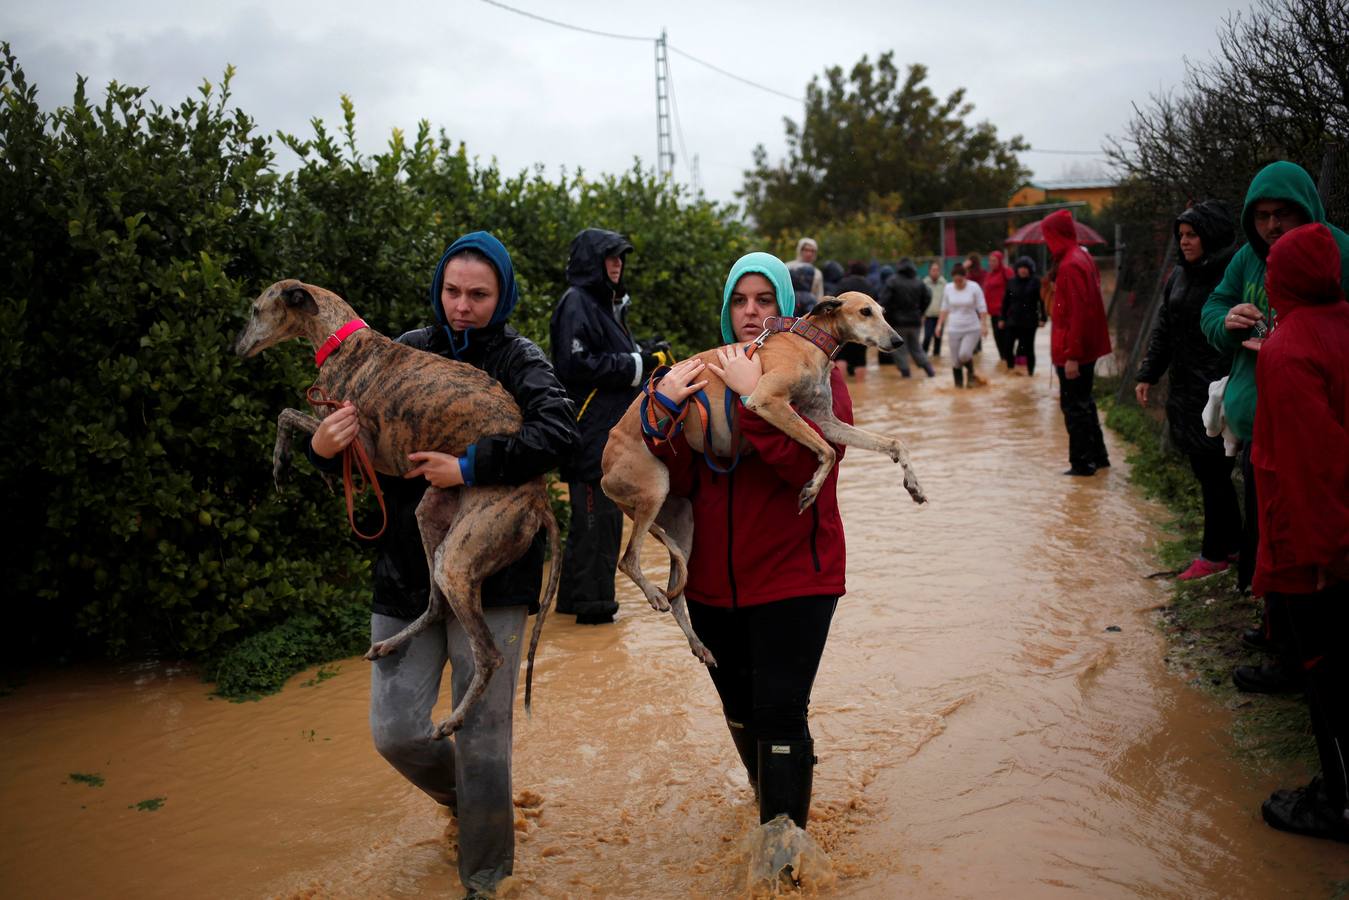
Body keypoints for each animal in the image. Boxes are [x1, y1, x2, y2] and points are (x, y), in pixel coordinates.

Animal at [234, 279, 561, 739]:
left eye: (255, 310)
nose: (235, 349)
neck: (339, 339)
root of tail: (540, 497)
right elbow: (302, 424)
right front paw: (325, 474)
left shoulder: (362, 445)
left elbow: (287, 414)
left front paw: (281, 463)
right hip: (431, 520)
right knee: (436, 605)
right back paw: (390, 643)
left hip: (458, 557)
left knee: (489, 654)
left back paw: (454, 719)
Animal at [601, 292, 928, 666]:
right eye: (865, 311)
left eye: (884, 312)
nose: (898, 340)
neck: (807, 341)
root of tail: (604, 471)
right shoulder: (765, 401)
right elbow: (827, 454)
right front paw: (810, 491)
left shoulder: (825, 421)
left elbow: (891, 443)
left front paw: (914, 485)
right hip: (654, 490)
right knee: (628, 560)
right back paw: (654, 594)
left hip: (681, 520)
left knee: (678, 595)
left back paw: (699, 644)